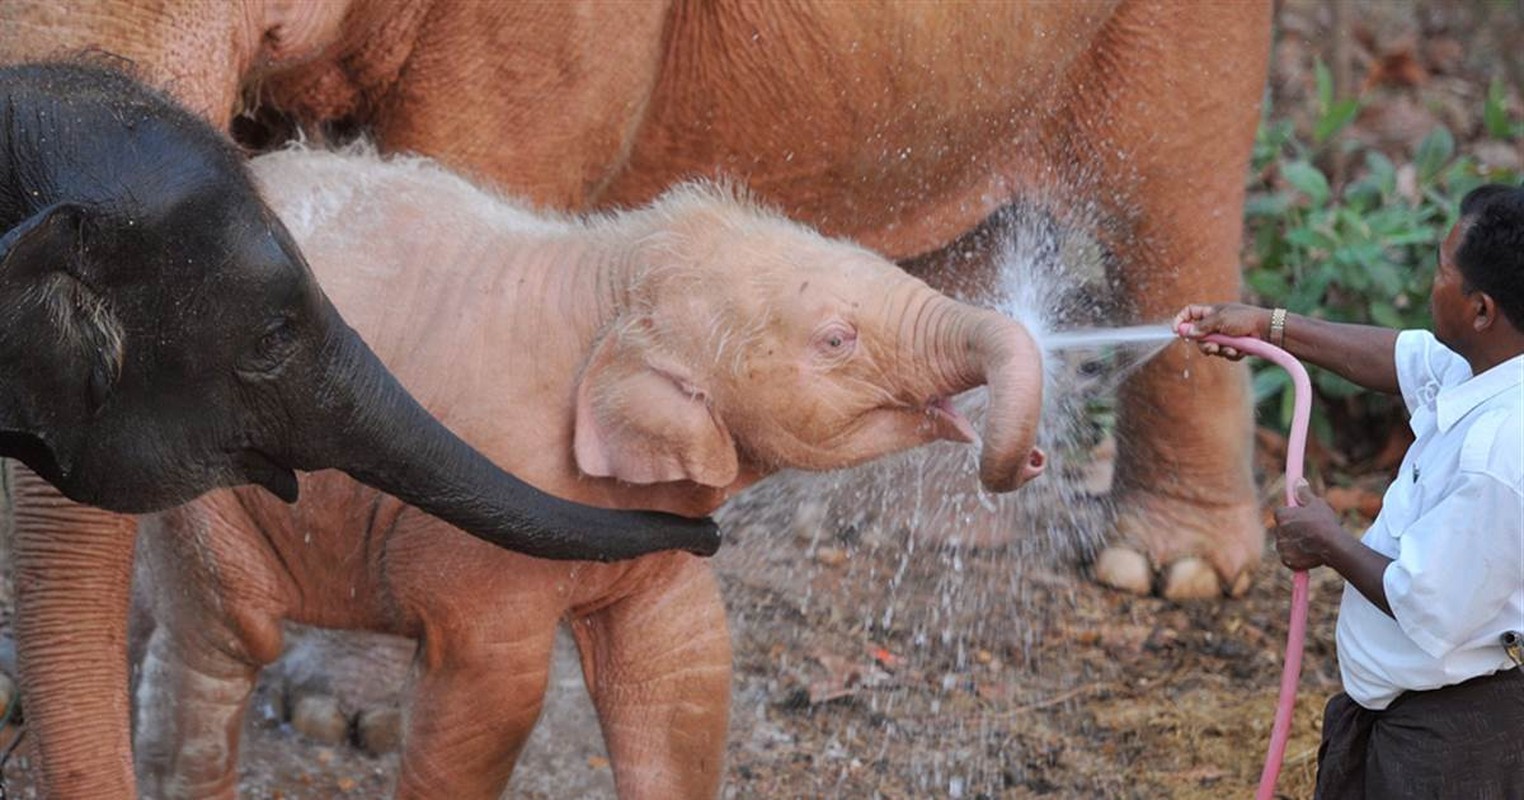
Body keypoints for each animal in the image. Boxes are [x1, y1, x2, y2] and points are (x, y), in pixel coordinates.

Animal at [128, 146, 1048, 792]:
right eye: (835, 340)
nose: (1030, 458)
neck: (609, 272)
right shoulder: (481, 527)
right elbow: (493, 699)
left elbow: (684, 668)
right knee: (225, 639)